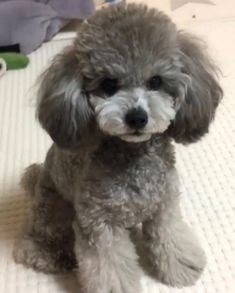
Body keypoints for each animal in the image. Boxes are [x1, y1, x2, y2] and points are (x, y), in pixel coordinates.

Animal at [13, 2, 223, 292]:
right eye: (108, 85)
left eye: (156, 81)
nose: (137, 118)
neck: (133, 156)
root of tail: (37, 180)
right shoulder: (100, 223)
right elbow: (110, 267)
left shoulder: (165, 204)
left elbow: (170, 235)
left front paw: (181, 266)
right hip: (54, 210)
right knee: (34, 244)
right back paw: (53, 255)